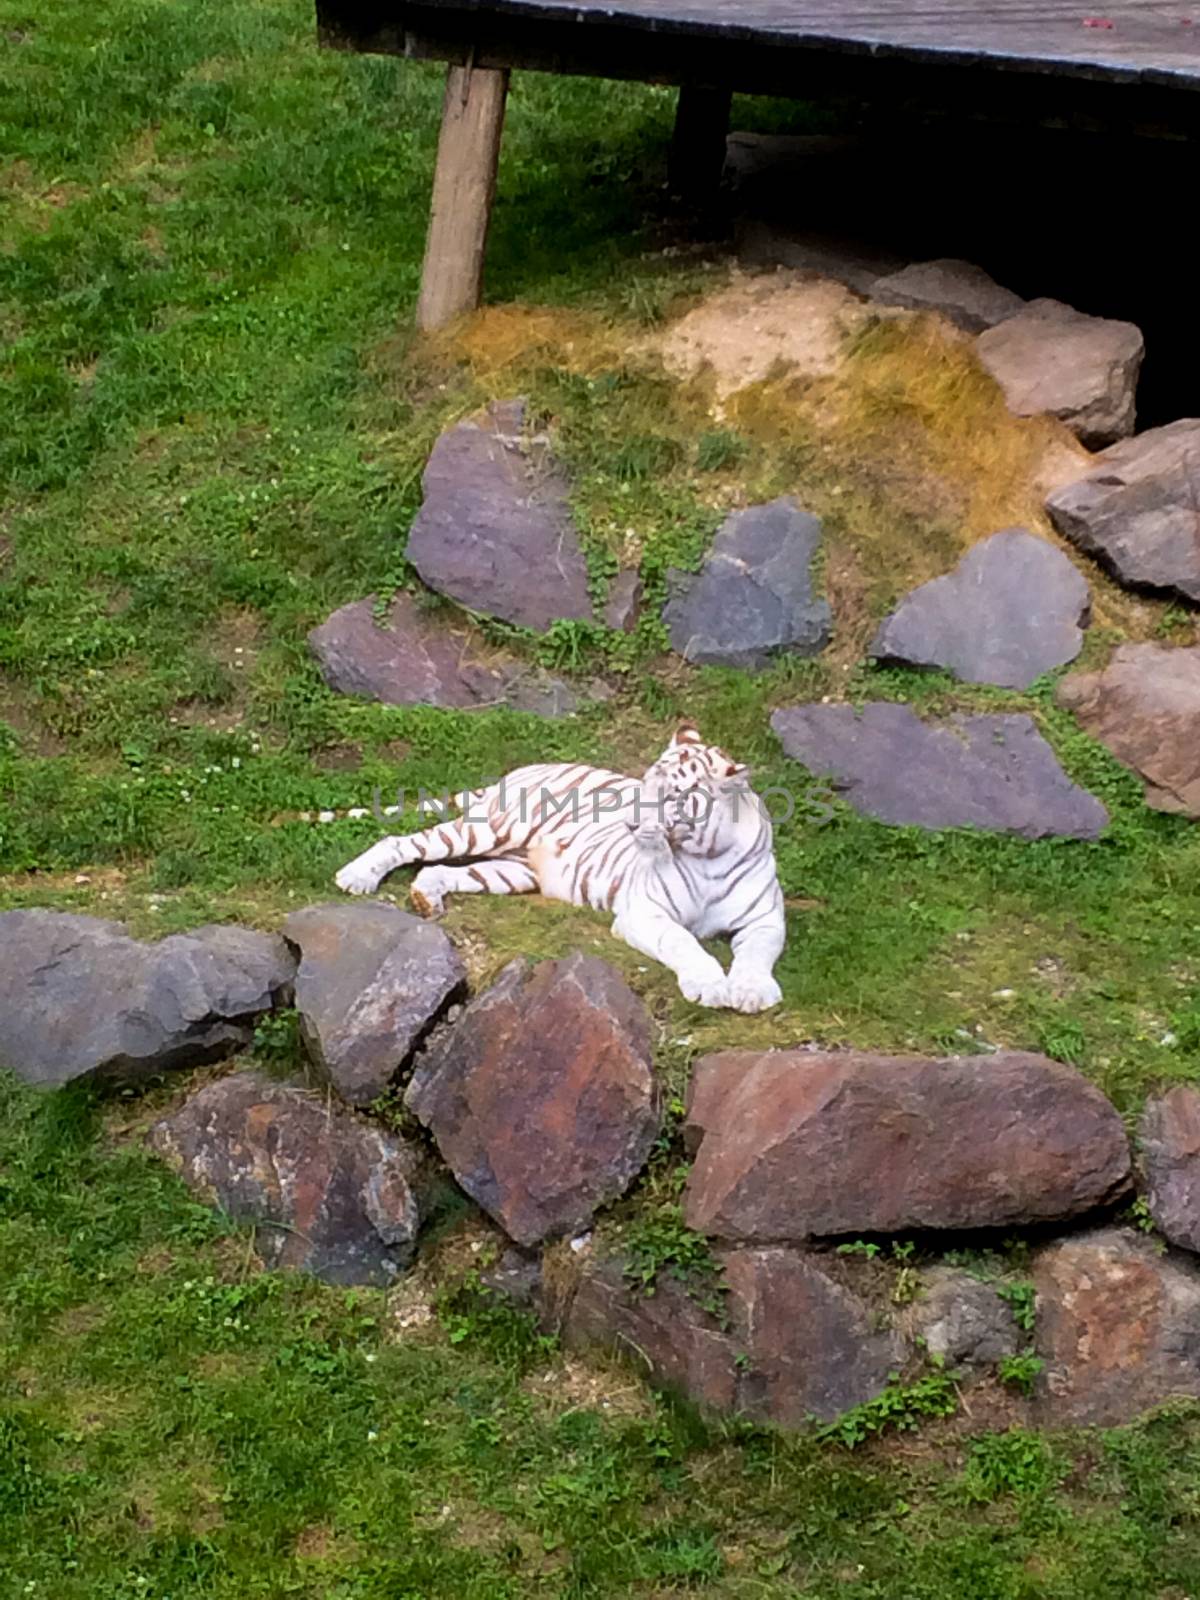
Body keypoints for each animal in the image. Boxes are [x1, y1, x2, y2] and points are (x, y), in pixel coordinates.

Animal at [336, 726, 790, 1011]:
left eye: (672, 796)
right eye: (645, 784)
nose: (629, 824)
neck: (710, 854)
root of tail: (524, 768)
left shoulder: (765, 921)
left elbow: (758, 953)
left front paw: (752, 993)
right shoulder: (645, 913)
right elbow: (684, 942)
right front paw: (710, 986)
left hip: (512, 871)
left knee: (438, 870)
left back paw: (426, 900)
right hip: (488, 829)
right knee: (400, 842)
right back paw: (355, 877)